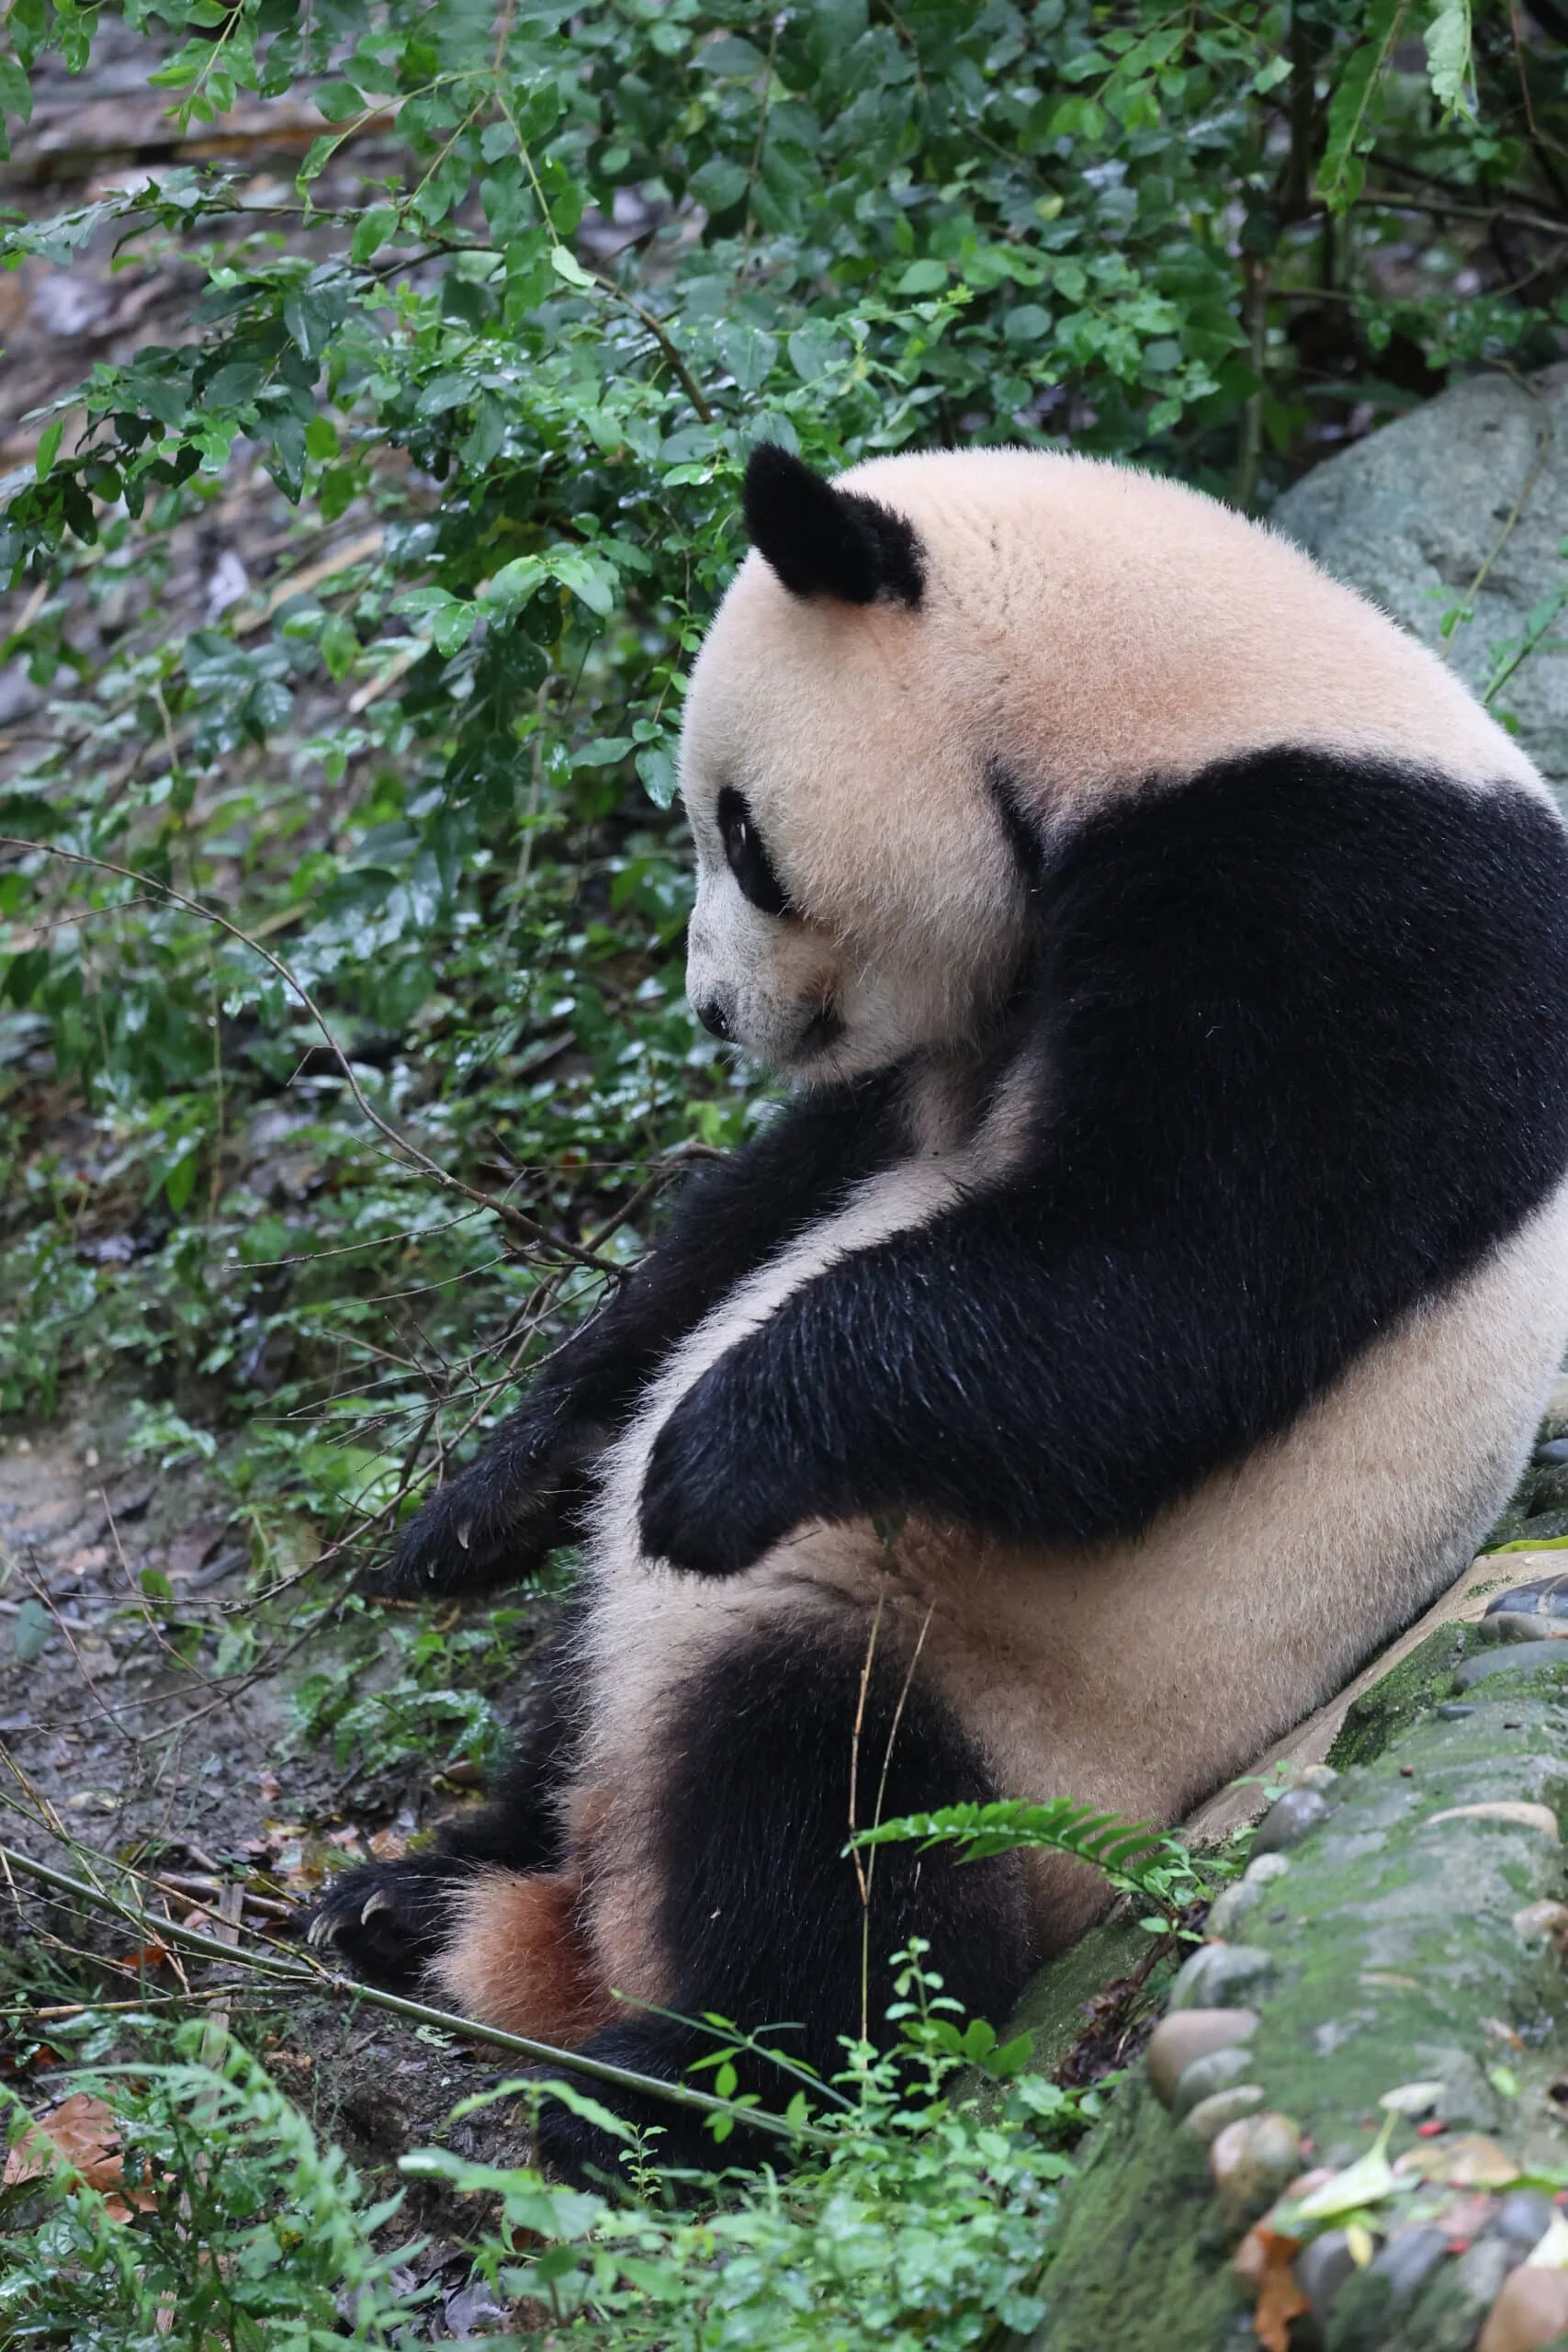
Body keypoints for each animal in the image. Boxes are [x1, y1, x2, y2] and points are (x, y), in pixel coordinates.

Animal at [309, 442, 1568, 2181]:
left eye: (740, 835)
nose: (712, 1011)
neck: (1189, 700)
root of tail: (601, 1931)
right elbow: (769, 1206)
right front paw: (474, 1510)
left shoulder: (1352, 913)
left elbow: (1152, 1287)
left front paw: (709, 1457)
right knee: (580, 1698)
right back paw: (419, 1890)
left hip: (1016, 1724)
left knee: (828, 1818)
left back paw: (679, 2081)